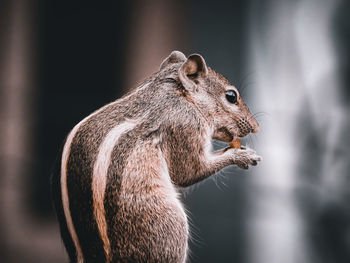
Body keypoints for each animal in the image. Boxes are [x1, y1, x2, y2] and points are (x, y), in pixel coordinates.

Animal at [51, 50, 260, 262]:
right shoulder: (184, 125)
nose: (256, 126)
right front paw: (242, 156)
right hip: (166, 225)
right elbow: (188, 173)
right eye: (231, 96)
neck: (178, 93)